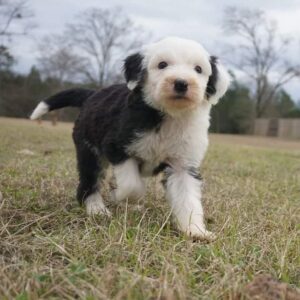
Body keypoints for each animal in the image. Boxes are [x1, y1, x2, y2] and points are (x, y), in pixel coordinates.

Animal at [31, 36, 230, 240]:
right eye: (162, 64)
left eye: (198, 69)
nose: (181, 83)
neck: (168, 115)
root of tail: (92, 94)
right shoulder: (117, 147)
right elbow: (131, 185)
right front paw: (119, 195)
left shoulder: (183, 165)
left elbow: (188, 198)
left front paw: (195, 230)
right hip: (89, 151)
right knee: (89, 182)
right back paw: (96, 209)